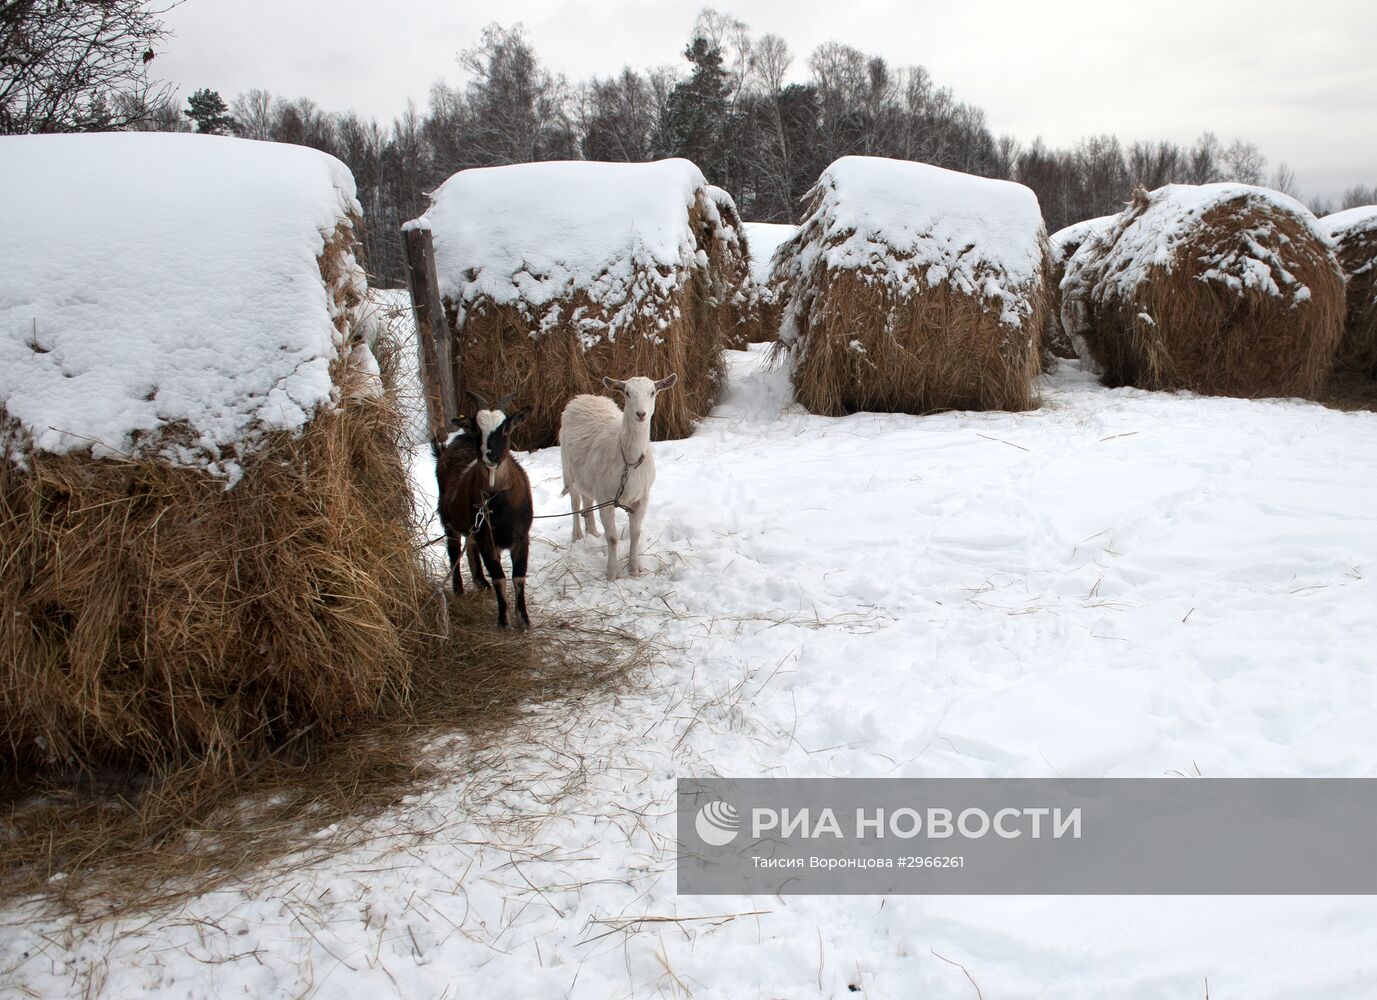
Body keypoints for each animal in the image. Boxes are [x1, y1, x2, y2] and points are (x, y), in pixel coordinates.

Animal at [435, 391, 531, 628]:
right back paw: (458, 588)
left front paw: (523, 619)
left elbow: (518, 578)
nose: (491, 455)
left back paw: (480, 581)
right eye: (479, 430)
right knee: (453, 549)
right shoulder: (487, 539)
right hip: (449, 520)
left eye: (506, 429)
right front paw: (503, 619)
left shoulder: (521, 537)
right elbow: (499, 578)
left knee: (469, 545)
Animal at [559, 374, 677, 578]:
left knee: (587, 499)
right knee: (575, 502)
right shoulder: (605, 498)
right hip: (568, 470)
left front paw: (635, 568)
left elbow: (636, 534)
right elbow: (613, 538)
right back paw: (577, 536)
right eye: (627, 393)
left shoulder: (642, 499)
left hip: (588, 478)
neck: (629, 460)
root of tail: (583, 397)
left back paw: (593, 533)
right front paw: (612, 573)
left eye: (652, 392)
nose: (641, 414)